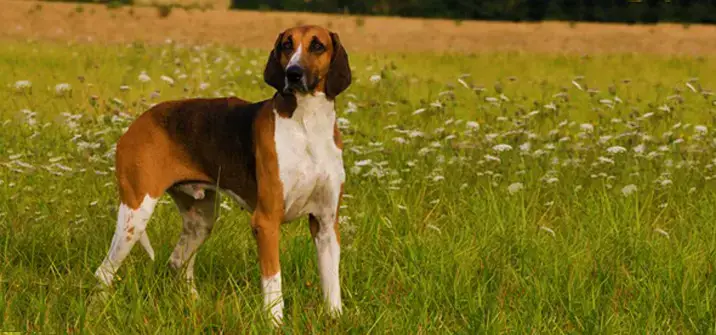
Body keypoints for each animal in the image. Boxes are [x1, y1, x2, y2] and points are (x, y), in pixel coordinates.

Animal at [93, 25, 352, 326]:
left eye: (317, 45)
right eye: (287, 45)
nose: (293, 73)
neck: (308, 125)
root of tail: (138, 121)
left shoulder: (326, 224)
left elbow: (331, 283)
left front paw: (336, 319)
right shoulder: (266, 222)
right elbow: (273, 281)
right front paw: (275, 323)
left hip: (201, 220)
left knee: (177, 263)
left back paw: (194, 306)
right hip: (135, 215)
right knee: (104, 271)